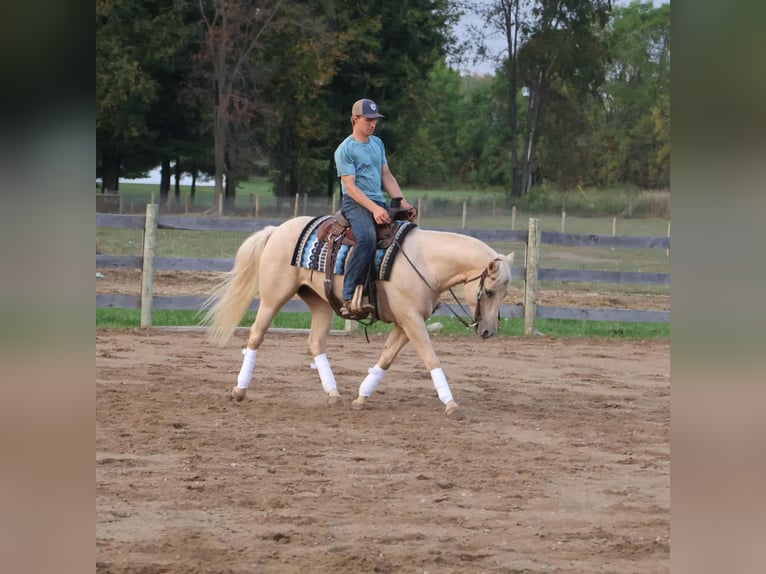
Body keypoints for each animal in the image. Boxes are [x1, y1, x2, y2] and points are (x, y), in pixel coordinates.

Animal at [202, 215, 515, 419]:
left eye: (503, 293)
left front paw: (362, 396)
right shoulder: (411, 320)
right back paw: (239, 390)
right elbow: (430, 358)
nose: (489, 331)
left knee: (315, 343)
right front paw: (451, 404)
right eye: (488, 291)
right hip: (272, 297)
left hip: (320, 302)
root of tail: (277, 229)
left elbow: (386, 358)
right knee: (256, 335)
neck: (425, 262)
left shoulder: (406, 322)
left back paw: (333, 394)